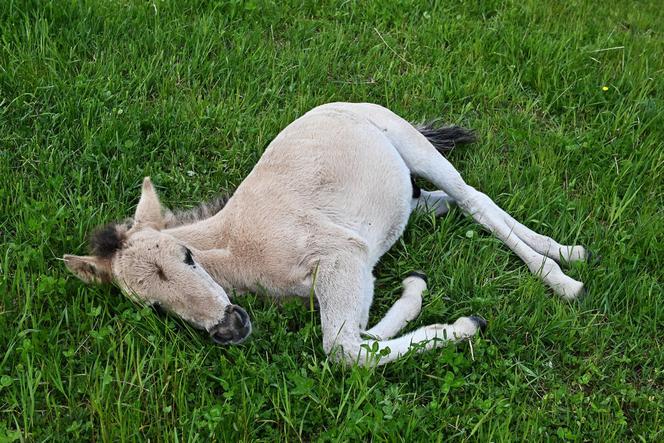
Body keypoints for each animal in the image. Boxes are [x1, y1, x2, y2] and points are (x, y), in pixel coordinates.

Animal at [65, 102, 588, 366]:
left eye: (187, 256)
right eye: (152, 306)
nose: (230, 327)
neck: (241, 249)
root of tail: (342, 103)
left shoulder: (343, 255)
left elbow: (346, 349)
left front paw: (462, 325)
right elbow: (360, 337)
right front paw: (419, 294)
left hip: (415, 146)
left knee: (474, 200)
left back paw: (562, 268)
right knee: (440, 202)